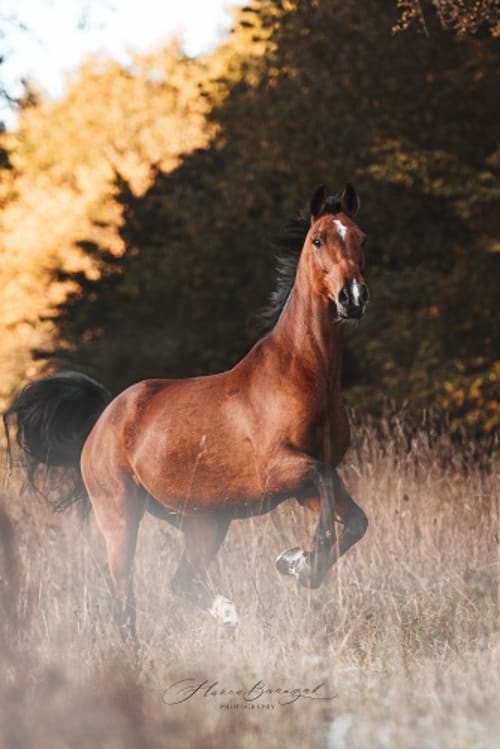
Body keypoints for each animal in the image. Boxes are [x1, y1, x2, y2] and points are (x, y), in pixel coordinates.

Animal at [4, 184, 370, 641]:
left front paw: (299, 565)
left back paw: (229, 615)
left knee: (182, 580)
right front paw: (300, 561)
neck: (301, 373)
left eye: (361, 239)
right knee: (125, 597)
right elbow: (325, 487)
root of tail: (103, 418)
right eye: (318, 239)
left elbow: (355, 522)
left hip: (206, 521)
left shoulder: (306, 486)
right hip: (121, 516)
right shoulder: (281, 471)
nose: (353, 298)